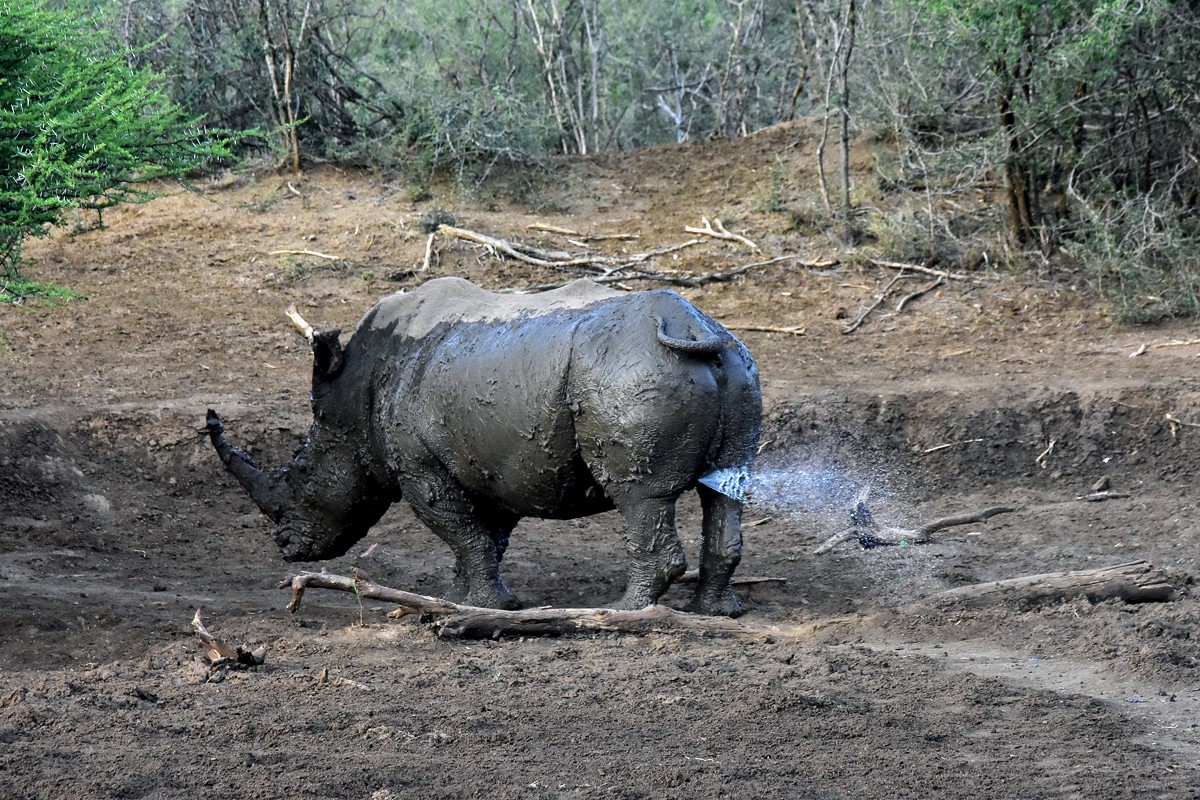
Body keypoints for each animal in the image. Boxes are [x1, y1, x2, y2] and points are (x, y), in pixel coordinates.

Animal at [207, 276, 761, 616]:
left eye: (302, 473)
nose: (285, 547)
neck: (352, 396)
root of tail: (693, 329)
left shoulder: (419, 465)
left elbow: (458, 529)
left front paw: (486, 607)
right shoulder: (491, 459)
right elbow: (482, 535)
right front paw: (462, 600)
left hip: (628, 374)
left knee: (640, 497)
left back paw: (622, 611)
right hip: (739, 366)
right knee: (725, 492)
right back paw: (715, 612)